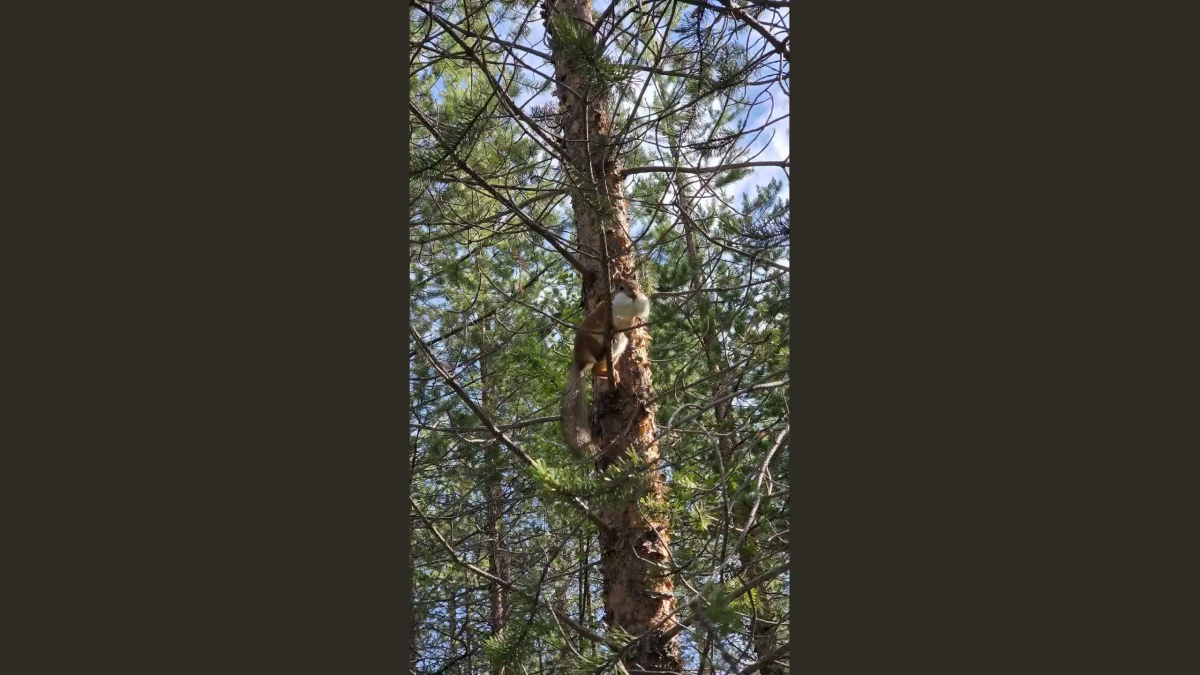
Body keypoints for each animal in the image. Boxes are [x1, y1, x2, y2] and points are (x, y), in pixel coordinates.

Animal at [561, 276, 651, 459]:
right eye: (621, 288)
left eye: (637, 287)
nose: (634, 295)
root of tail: (580, 362)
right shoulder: (604, 312)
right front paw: (613, 327)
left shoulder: (627, 327)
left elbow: (630, 329)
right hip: (591, 343)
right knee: (597, 356)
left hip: (619, 347)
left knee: (597, 368)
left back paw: (613, 374)